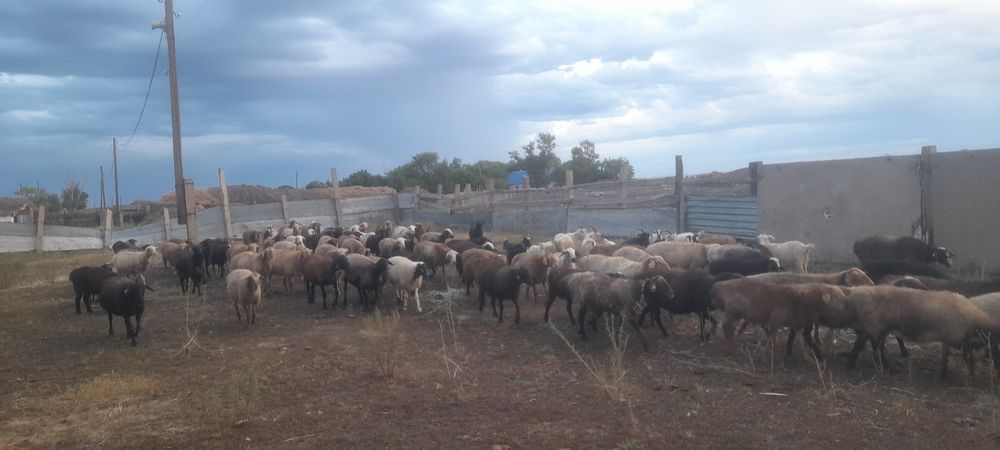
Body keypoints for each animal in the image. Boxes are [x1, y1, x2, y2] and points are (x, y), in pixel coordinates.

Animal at [843, 286, 995, 378]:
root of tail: (855, 293)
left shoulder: (952, 339)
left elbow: (949, 355)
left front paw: (945, 374)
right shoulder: (958, 339)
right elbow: (965, 355)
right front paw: (969, 373)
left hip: (879, 329)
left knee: (870, 346)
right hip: (876, 327)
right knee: (872, 348)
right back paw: (882, 368)